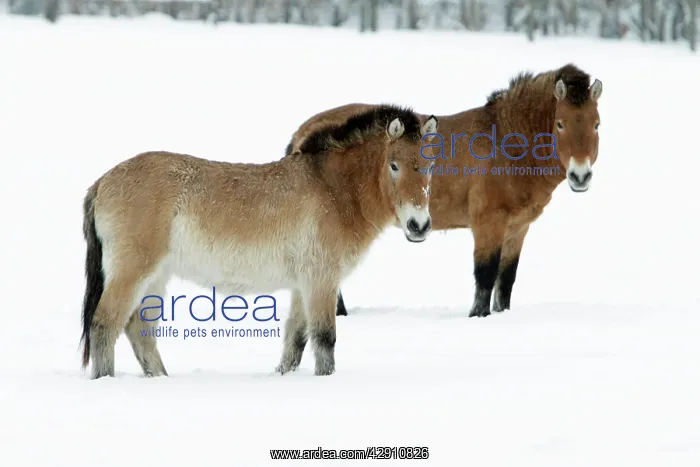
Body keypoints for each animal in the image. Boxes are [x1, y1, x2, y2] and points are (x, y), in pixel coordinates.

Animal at [79, 104, 439, 379]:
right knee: (104, 324)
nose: (419, 225)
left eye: (429, 166)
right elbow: (325, 338)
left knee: (138, 331)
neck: (332, 190)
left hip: (156, 277)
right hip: (132, 272)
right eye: (394, 165)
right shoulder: (322, 279)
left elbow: (296, 340)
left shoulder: (303, 284)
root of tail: (102, 181)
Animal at [285, 64, 602, 318]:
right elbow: (485, 275)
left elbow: (506, 281)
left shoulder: (518, 228)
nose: (581, 175)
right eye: (560, 123)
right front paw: (478, 316)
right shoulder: (488, 223)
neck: (507, 144)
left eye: (597, 124)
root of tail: (303, 131)